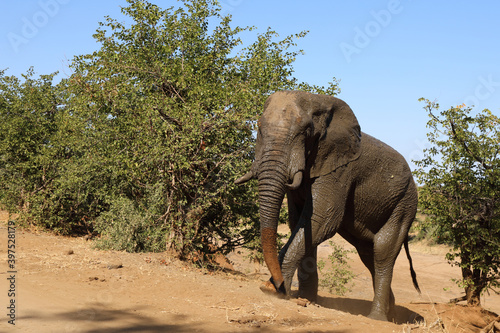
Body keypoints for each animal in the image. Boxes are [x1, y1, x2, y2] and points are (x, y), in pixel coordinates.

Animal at [236, 89, 420, 320]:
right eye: (259, 126)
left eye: (305, 132)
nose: (277, 283)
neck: (319, 102)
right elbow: (301, 222)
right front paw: (304, 298)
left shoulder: (340, 170)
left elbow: (322, 219)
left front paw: (271, 289)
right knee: (368, 252)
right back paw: (392, 314)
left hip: (405, 203)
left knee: (383, 251)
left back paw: (377, 318)